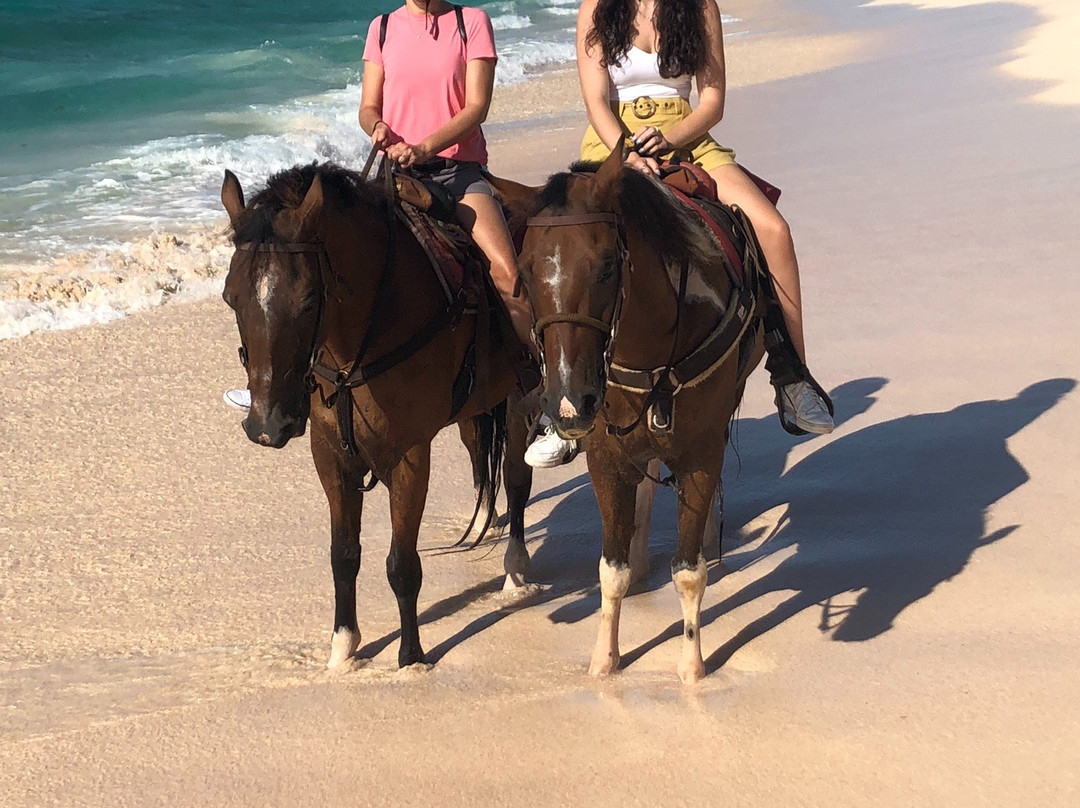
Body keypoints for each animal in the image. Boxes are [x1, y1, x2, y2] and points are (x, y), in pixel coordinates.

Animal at [220, 161, 534, 670]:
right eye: (231, 298)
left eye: (309, 300)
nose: (268, 426)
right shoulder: (330, 455)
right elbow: (343, 555)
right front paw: (343, 646)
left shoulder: (409, 456)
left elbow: (402, 565)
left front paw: (411, 657)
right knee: (478, 452)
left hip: (522, 395)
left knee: (518, 478)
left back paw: (516, 567)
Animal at [492, 146, 768, 683]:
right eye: (526, 273)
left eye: (605, 267)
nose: (568, 402)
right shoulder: (606, 454)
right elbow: (610, 570)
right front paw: (605, 661)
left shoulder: (700, 450)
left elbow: (688, 572)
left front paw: (692, 668)